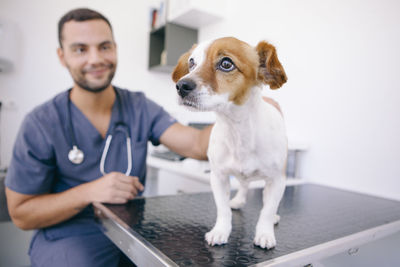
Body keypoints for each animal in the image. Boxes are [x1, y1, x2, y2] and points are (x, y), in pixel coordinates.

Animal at [172, 36, 288, 250]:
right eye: (192, 63)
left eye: (226, 64)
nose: (181, 85)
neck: (237, 130)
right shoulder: (218, 177)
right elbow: (223, 209)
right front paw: (220, 231)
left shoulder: (277, 180)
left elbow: (266, 211)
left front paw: (265, 233)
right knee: (244, 185)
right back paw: (239, 199)